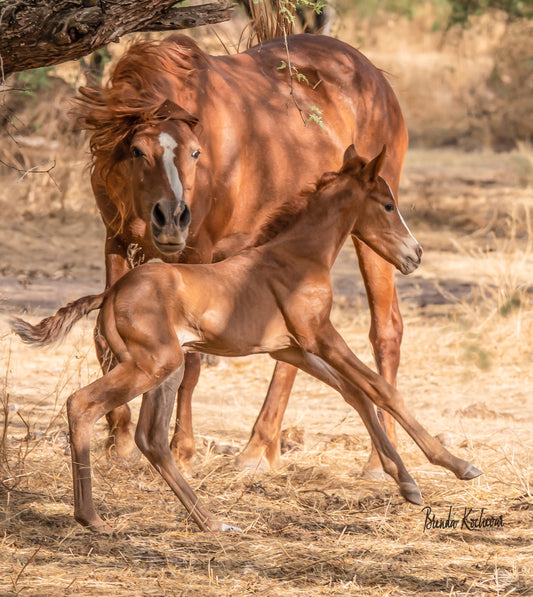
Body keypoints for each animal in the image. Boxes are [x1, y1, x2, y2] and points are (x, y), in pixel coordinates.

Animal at [9, 148, 482, 532]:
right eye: (387, 204)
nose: (415, 255)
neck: (299, 255)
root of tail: (110, 293)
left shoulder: (293, 348)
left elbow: (357, 396)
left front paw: (406, 482)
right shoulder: (320, 335)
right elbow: (380, 390)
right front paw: (456, 466)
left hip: (166, 368)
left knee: (151, 438)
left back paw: (211, 521)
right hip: (151, 365)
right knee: (82, 405)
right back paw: (91, 517)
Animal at [74, 32, 408, 472]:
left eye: (196, 152)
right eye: (137, 151)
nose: (173, 219)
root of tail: (376, 78)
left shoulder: (197, 252)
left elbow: (191, 364)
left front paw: (181, 450)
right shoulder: (114, 240)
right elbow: (104, 341)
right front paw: (120, 438)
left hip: (372, 235)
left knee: (385, 329)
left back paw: (373, 459)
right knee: (294, 352)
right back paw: (259, 447)